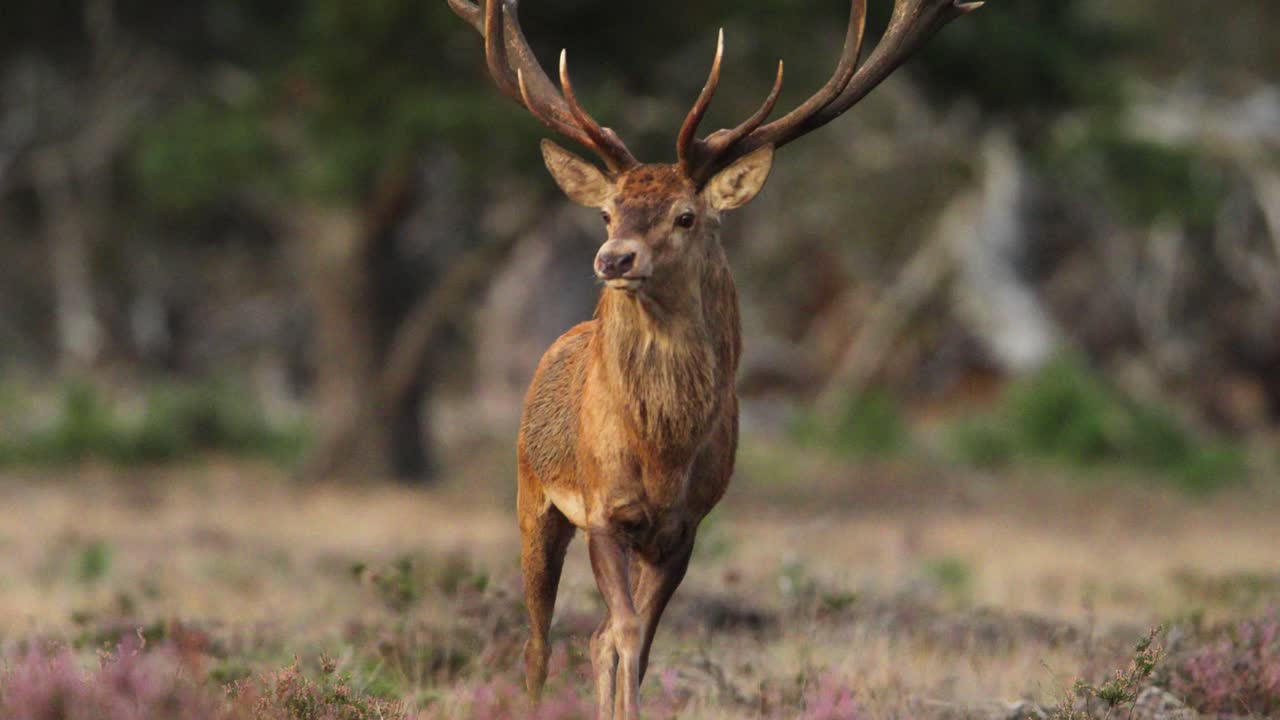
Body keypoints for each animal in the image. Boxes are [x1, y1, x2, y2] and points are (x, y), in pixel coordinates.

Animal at [446, 0, 982, 717]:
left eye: (686, 216)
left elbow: (635, 642)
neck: (664, 452)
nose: (613, 258)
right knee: (538, 643)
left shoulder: (686, 527)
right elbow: (622, 634)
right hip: (532, 494)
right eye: (608, 211)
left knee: (589, 638)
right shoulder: (605, 510)